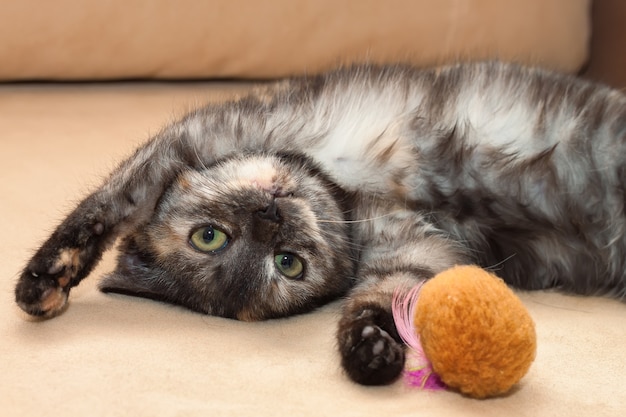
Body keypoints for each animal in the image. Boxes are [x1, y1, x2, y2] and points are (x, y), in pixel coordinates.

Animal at [13, 61, 624, 384]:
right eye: (288, 264)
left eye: (208, 237)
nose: (270, 214)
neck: (351, 197)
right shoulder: (410, 251)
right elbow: (389, 294)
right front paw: (370, 349)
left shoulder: (195, 138)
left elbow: (110, 199)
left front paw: (42, 280)